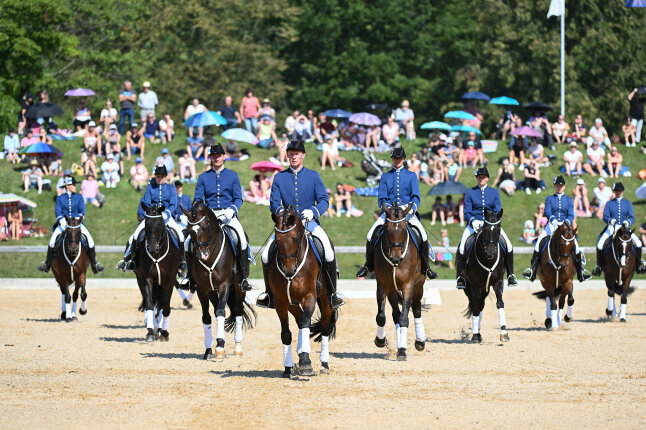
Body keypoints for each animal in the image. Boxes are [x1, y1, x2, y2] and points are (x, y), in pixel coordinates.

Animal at [137, 203, 181, 340]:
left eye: (160, 223)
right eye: (146, 223)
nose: (151, 248)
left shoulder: (169, 282)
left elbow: (166, 308)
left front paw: (165, 332)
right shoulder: (147, 279)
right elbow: (150, 304)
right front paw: (150, 332)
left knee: (162, 305)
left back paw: (161, 329)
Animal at [182, 202, 256, 360]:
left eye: (205, 226)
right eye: (189, 229)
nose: (202, 255)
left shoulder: (224, 285)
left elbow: (221, 311)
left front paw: (220, 346)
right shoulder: (202, 289)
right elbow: (207, 317)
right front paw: (209, 349)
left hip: (239, 287)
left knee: (238, 311)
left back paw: (238, 348)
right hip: (211, 291)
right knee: (217, 310)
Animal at [268, 207, 340, 378]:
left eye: (295, 238)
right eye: (277, 239)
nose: (289, 271)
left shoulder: (309, 297)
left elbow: (307, 323)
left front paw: (306, 363)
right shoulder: (281, 301)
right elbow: (286, 333)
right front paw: (288, 368)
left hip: (326, 300)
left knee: (324, 326)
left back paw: (324, 364)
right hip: (292, 304)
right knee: (300, 321)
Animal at [372, 202, 428, 360]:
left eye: (403, 228)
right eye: (387, 229)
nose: (395, 258)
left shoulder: (408, 286)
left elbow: (405, 318)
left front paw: (402, 350)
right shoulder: (382, 285)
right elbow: (381, 317)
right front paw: (380, 340)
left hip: (419, 286)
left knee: (416, 309)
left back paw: (420, 342)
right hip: (392, 290)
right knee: (395, 315)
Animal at [466, 208, 512, 342]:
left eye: (498, 229)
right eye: (485, 229)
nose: (490, 253)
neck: (488, 261)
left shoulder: (498, 282)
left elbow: (500, 303)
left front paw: (504, 333)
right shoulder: (474, 286)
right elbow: (475, 307)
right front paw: (475, 336)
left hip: (485, 289)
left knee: (481, 305)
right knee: (477, 305)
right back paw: (476, 333)